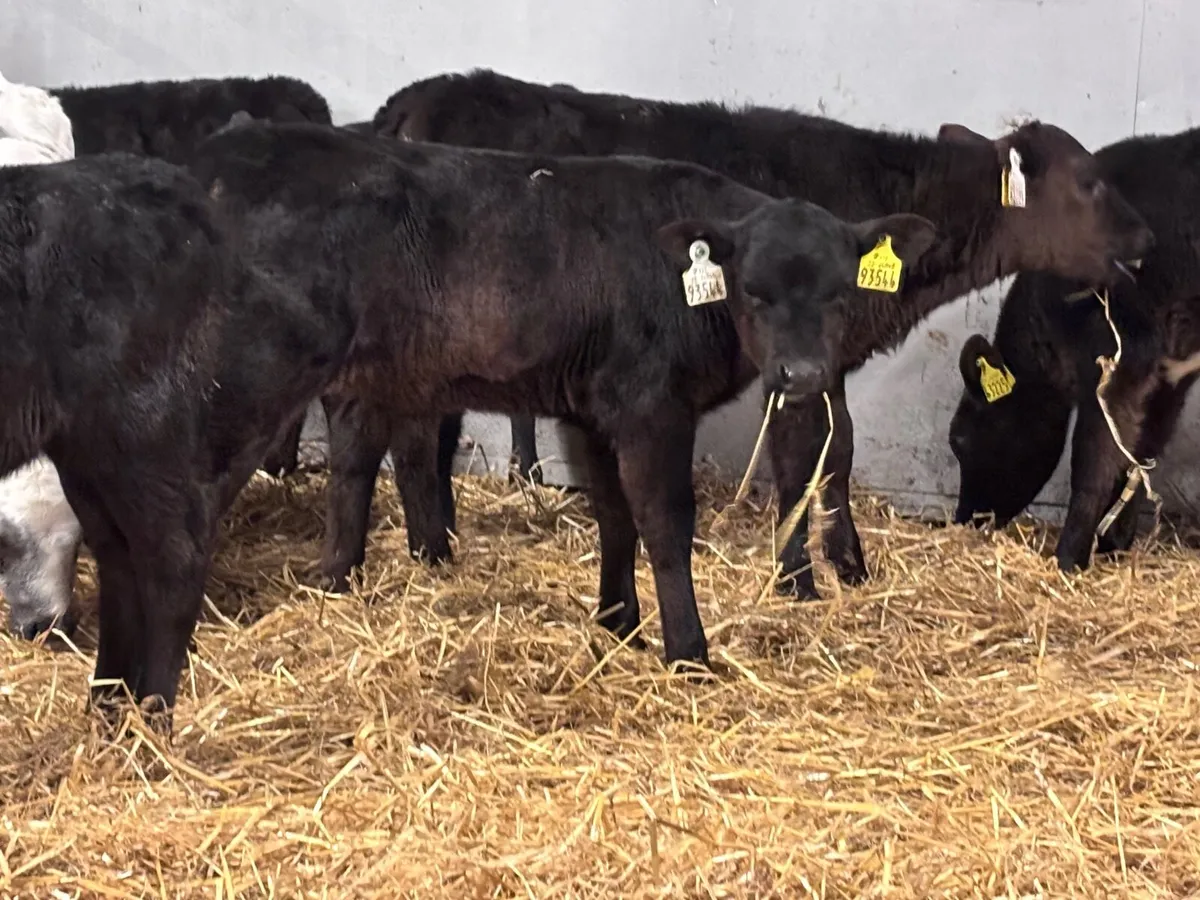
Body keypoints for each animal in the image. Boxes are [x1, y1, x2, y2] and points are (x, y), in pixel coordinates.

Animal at [183, 120, 942, 668]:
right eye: (754, 290)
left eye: (841, 292)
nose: (803, 375)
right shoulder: (651, 406)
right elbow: (665, 523)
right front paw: (688, 652)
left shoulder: (593, 409)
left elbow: (614, 515)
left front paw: (618, 623)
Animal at [361, 69, 1154, 602]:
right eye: (1089, 182)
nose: (1146, 239)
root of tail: (415, 100)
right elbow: (799, 458)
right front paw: (798, 579)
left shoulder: (825, 358)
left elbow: (839, 452)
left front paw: (850, 566)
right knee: (417, 436)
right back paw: (432, 551)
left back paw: (440, 539)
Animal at [950, 126, 1200, 573]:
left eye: (959, 440)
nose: (964, 520)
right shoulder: (1169, 378)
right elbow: (1142, 456)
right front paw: (1115, 546)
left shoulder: (1115, 367)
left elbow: (1094, 465)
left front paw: (1068, 558)